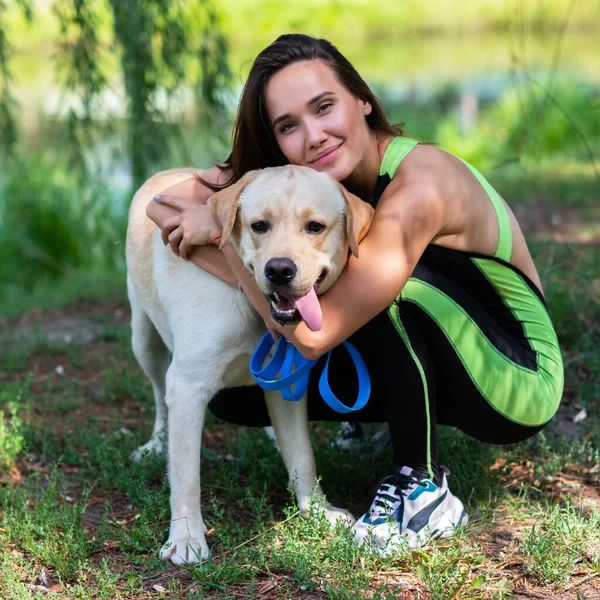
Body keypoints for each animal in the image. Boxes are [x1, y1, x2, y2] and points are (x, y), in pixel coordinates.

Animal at [125, 164, 370, 564]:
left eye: (315, 227)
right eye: (259, 225)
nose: (280, 270)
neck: (255, 306)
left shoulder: (287, 383)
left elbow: (303, 453)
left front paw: (317, 509)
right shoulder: (187, 386)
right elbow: (186, 475)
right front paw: (187, 538)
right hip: (143, 340)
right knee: (159, 398)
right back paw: (156, 444)